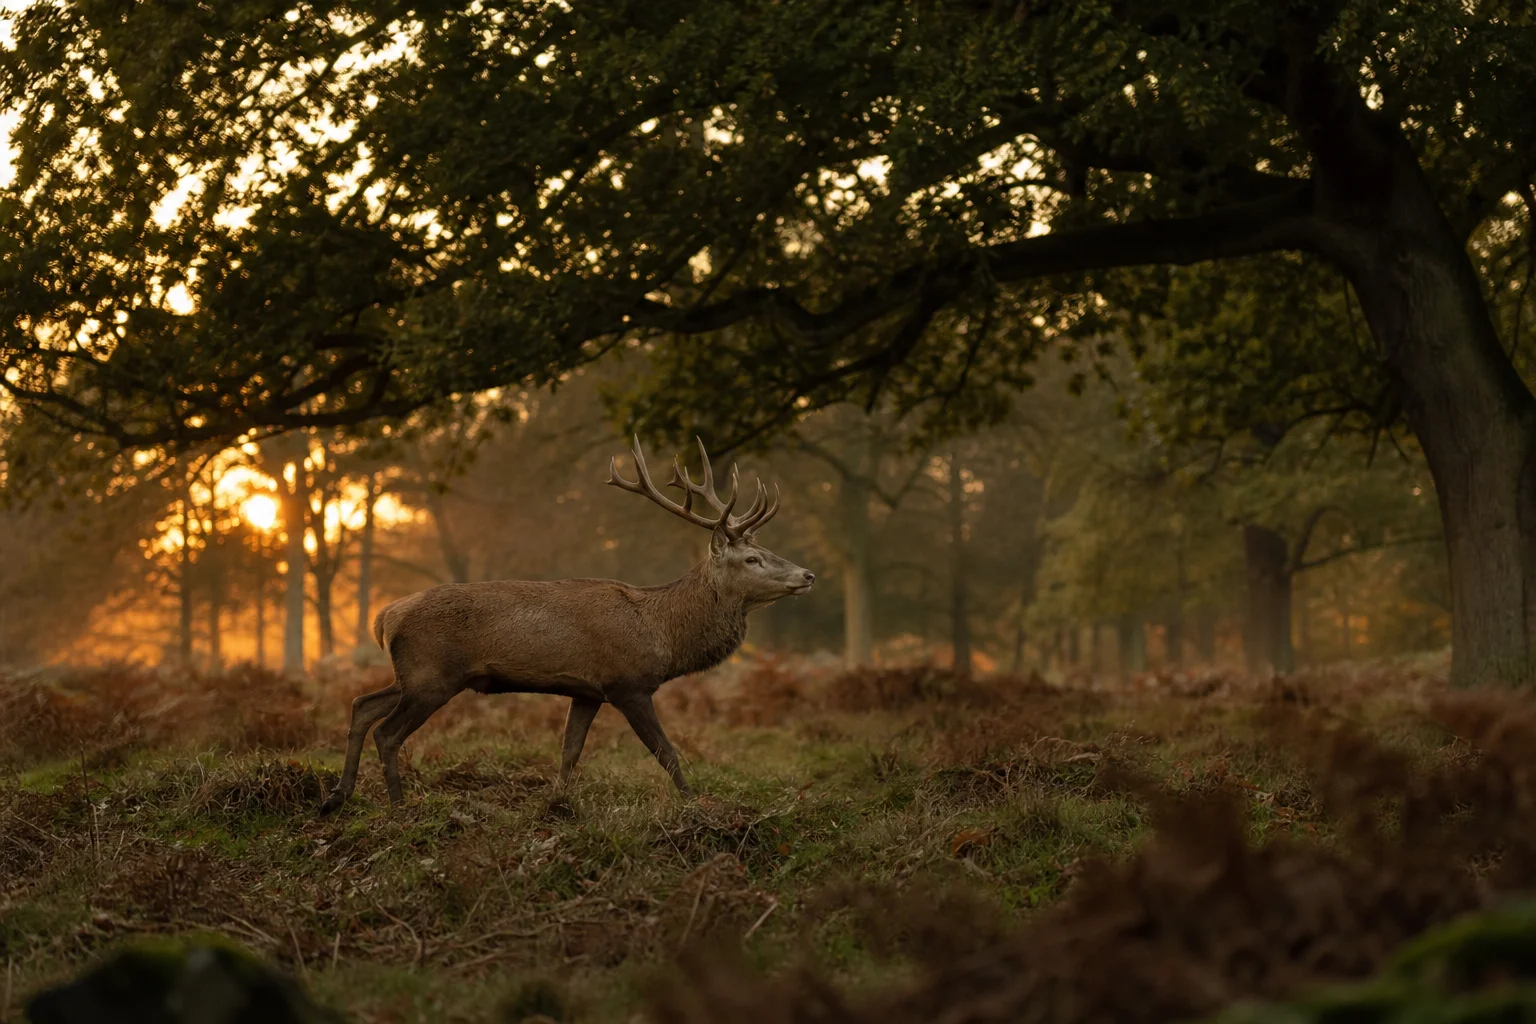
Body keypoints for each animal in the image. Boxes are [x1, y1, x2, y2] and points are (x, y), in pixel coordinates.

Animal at [317, 436, 815, 815]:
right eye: (752, 559)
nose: (808, 575)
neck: (662, 633)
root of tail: (385, 617)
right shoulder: (627, 683)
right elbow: (667, 752)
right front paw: (696, 805)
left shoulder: (586, 691)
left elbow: (570, 752)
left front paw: (556, 805)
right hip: (432, 676)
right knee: (386, 731)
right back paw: (398, 806)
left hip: (413, 676)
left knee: (362, 705)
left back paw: (337, 798)